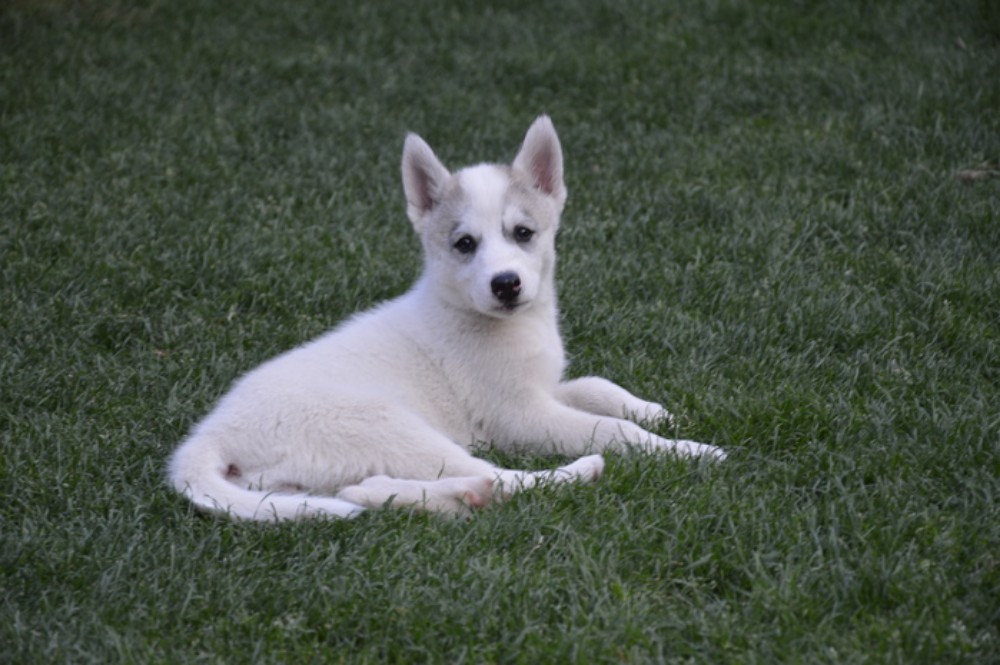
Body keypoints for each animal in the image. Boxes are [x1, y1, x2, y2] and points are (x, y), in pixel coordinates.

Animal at [167, 115, 725, 521]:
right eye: (464, 244)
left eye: (524, 233)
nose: (506, 284)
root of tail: (206, 436)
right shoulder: (520, 416)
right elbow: (614, 431)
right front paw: (683, 447)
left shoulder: (539, 389)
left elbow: (596, 385)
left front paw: (656, 410)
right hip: (385, 425)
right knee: (501, 475)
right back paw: (576, 472)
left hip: (304, 476)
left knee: (370, 487)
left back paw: (453, 497)